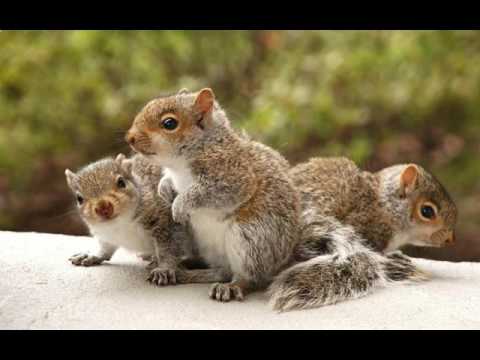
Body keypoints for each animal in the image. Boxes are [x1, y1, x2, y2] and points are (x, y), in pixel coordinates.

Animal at [127, 87, 300, 300]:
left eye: (169, 123)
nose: (130, 138)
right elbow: (166, 179)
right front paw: (164, 189)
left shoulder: (233, 176)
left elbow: (208, 193)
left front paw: (180, 205)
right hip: (206, 243)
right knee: (222, 272)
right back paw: (189, 271)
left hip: (250, 237)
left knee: (249, 277)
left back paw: (232, 286)